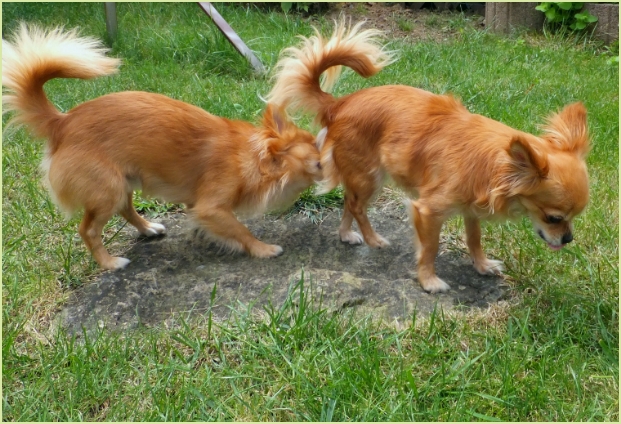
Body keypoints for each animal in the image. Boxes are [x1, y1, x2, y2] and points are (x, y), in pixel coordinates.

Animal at [3, 24, 324, 270]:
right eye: (316, 149)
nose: (329, 146)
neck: (255, 158)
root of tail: (62, 122)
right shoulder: (211, 207)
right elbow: (240, 228)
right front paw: (262, 249)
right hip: (107, 189)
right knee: (89, 229)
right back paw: (109, 263)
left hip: (122, 182)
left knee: (126, 208)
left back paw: (147, 228)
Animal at [268, 21, 588, 294]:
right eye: (553, 218)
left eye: (573, 219)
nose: (568, 239)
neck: (497, 163)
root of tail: (338, 104)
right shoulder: (428, 211)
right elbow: (430, 248)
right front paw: (429, 281)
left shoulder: (471, 210)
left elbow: (474, 238)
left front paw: (482, 265)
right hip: (370, 176)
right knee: (357, 205)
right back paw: (373, 240)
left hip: (363, 177)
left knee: (349, 201)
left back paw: (346, 235)